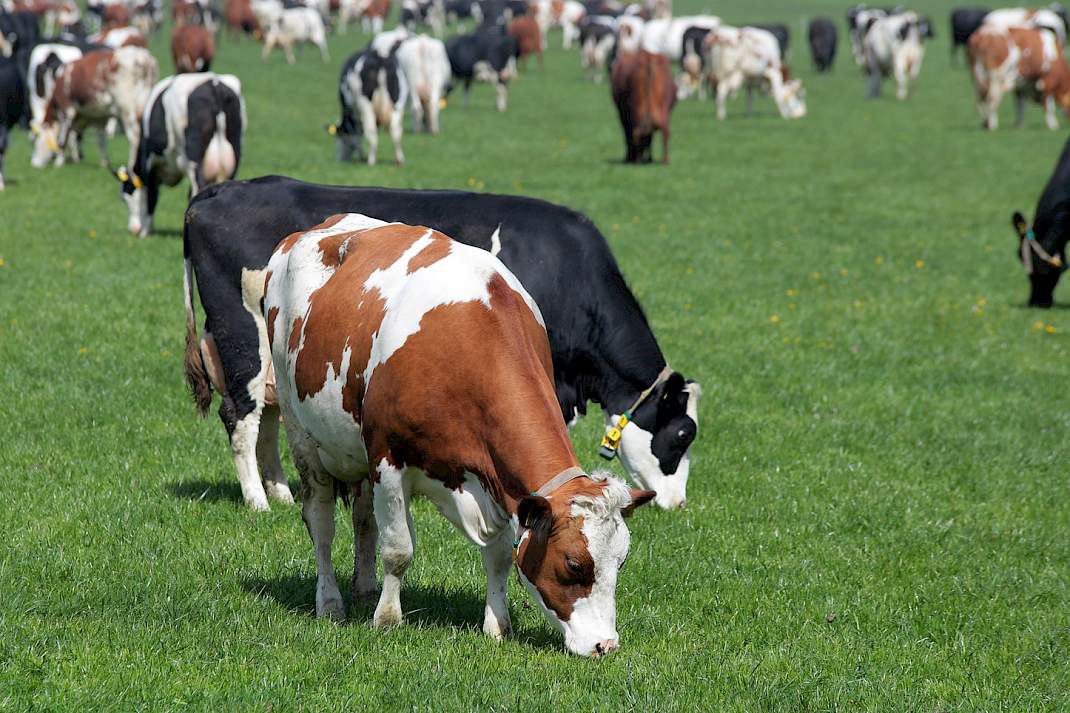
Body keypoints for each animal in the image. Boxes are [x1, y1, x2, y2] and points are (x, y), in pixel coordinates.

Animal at [113, 72, 244, 236]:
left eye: (125, 197)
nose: (133, 230)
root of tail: (214, 83)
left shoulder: (150, 162)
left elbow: (152, 196)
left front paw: (146, 231)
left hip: (194, 161)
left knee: (196, 189)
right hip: (234, 155)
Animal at [181, 175, 701, 513]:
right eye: (682, 435)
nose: (677, 504)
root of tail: (219, 190)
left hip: (275, 359)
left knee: (268, 418)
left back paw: (282, 493)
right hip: (241, 334)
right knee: (241, 414)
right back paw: (257, 501)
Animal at [262, 213, 656, 655]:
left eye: (621, 561)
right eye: (574, 563)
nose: (606, 645)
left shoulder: (497, 482)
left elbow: (499, 555)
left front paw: (497, 625)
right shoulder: (387, 456)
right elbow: (398, 549)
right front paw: (387, 620)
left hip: (356, 452)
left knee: (363, 520)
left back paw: (364, 589)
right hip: (300, 430)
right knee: (321, 522)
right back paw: (330, 601)